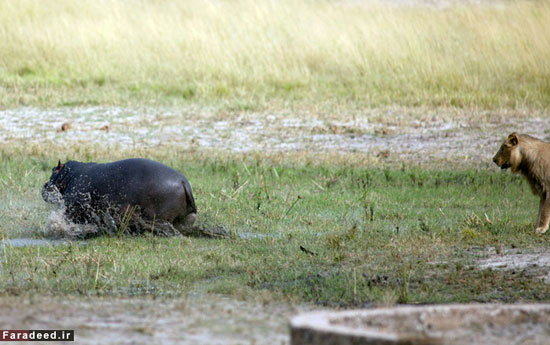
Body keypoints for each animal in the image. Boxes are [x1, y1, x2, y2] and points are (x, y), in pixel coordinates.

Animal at [41, 159, 201, 236]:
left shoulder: (73, 210)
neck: (68, 175)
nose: (44, 185)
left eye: (53, 170)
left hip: (160, 216)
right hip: (187, 217)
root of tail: (184, 183)